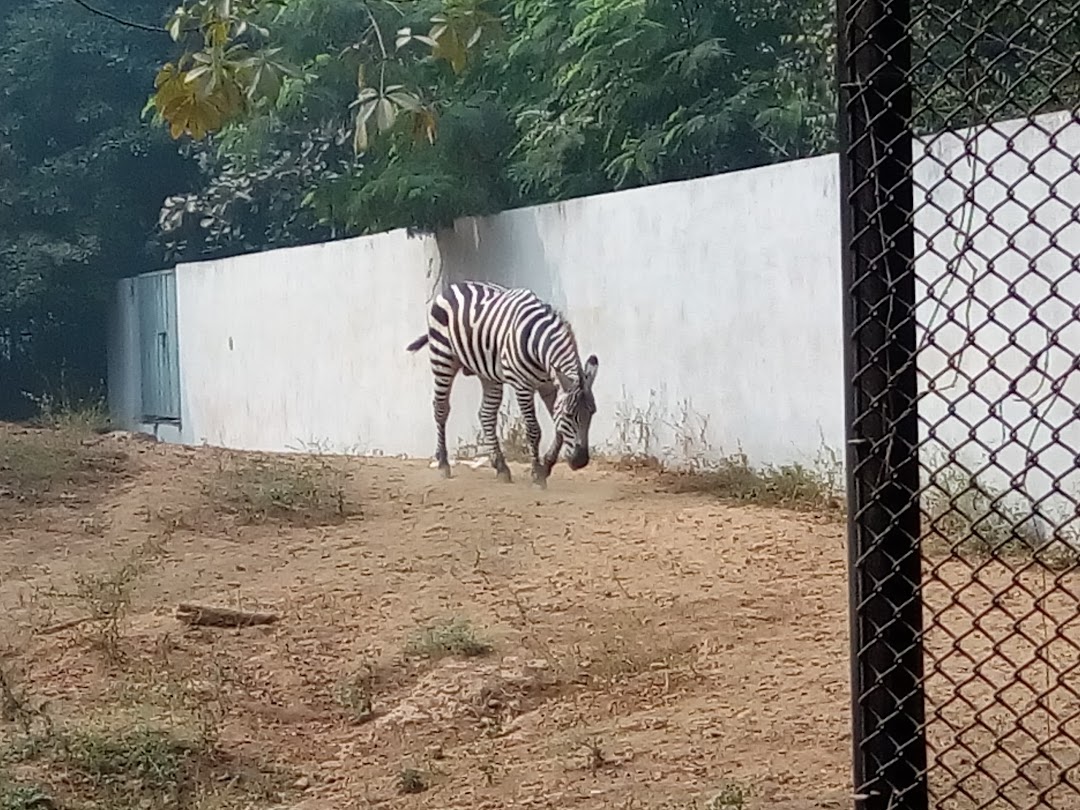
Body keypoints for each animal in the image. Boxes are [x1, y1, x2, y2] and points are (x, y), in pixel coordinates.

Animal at [406, 281, 599, 488]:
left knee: (486, 414)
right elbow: (534, 430)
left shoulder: (548, 386)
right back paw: (443, 463)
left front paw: (546, 465)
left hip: (487, 373)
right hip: (443, 357)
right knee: (441, 408)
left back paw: (501, 467)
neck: (539, 346)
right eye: (570, 415)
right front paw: (538, 475)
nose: (581, 461)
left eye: (592, 414)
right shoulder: (523, 386)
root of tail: (455, 285)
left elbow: (557, 426)